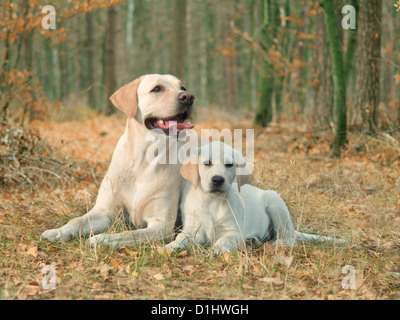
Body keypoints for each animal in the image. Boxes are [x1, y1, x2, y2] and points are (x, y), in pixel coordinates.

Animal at [41, 74, 195, 248]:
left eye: (182, 87)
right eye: (157, 88)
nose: (188, 97)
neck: (143, 160)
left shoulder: (161, 225)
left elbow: (129, 234)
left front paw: (102, 239)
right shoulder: (104, 211)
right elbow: (77, 220)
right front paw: (58, 231)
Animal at [166, 141, 344, 254]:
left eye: (229, 165)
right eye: (206, 163)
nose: (217, 180)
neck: (212, 202)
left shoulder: (234, 231)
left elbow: (225, 239)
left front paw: (217, 249)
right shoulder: (193, 228)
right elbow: (182, 237)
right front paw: (173, 245)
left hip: (275, 203)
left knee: (289, 237)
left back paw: (276, 243)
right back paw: (253, 240)